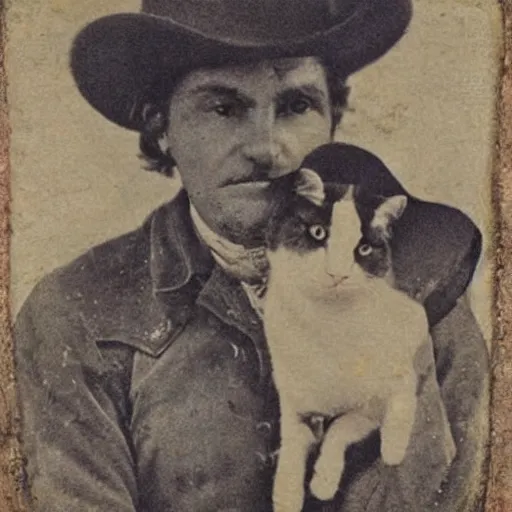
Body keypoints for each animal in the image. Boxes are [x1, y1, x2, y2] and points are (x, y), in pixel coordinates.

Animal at [262, 158, 454, 510]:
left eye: (362, 249)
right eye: (318, 233)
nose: (337, 273)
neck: (328, 321)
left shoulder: (375, 403)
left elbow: (343, 427)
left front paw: (325, 481)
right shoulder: (295, 403)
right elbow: (292, 445)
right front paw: (286, 495)